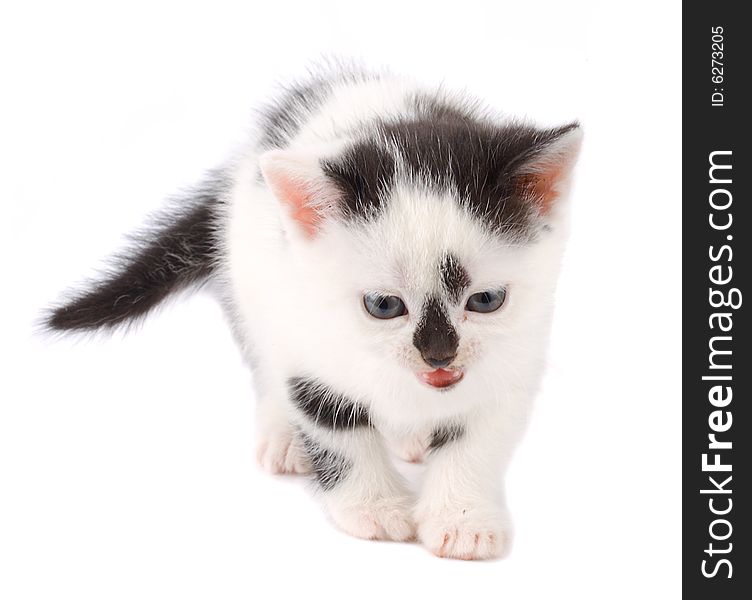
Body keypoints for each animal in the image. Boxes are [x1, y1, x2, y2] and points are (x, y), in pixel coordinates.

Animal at [45, 64, 580, 556]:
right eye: (384, 306)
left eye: (486, 300)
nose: (438, 355)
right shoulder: (307, 334)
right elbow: (332, 421)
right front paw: (374, 508)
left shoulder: (516, 353)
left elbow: (478, 436)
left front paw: (464, 520)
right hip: (251, 277)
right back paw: (283, 436)